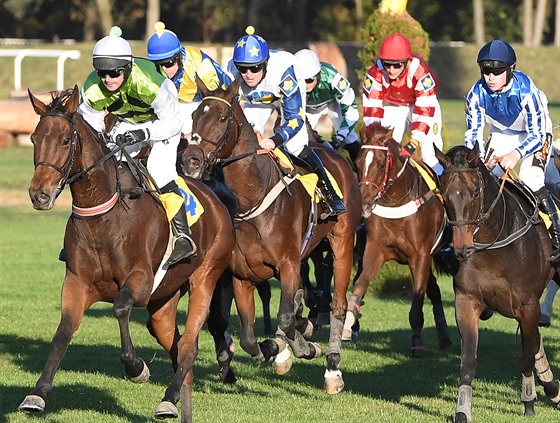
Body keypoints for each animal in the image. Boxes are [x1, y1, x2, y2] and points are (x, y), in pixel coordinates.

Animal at [19, 87, 234, 423]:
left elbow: (120, 308)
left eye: (66, 140)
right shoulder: (77, 282)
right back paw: (180, 403)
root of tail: (216, 199)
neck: (103, 217)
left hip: (205, 277)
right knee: (176, 349)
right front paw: (37, 393)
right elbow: (62, 333)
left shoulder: (141, 281)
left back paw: (168, 400)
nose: (39, 194)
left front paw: (136, 368)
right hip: (163, 302)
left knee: (188, 347)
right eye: (34, 138)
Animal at [182, 75, 360, 394]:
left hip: (341, 242)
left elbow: (287, 318)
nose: (191, 160)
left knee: (337, 306)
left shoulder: (288, 265)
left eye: (223, 118)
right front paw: (276, 348)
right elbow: (249, 337)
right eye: (193, 116)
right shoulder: (243, 275)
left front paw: (303, 347)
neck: (253, 199)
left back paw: (332, 369)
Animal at [346, 122, 456, 358]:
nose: (364, 204)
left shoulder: (419, 256)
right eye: (357, 163)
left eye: (380, 164)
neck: (396, 202)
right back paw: (444, 337)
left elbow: (416, 304)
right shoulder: (376, 250)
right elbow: (359, 285)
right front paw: (348, 324)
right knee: (434, 289)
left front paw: (416, 344)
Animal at [438, 144, 560, 422]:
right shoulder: (466, 301)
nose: (461, 249)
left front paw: (529, 400)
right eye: (444, 193)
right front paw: (462, 410)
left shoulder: (528, 305)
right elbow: (468, 362)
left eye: (474, 192)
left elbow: (525, 356)